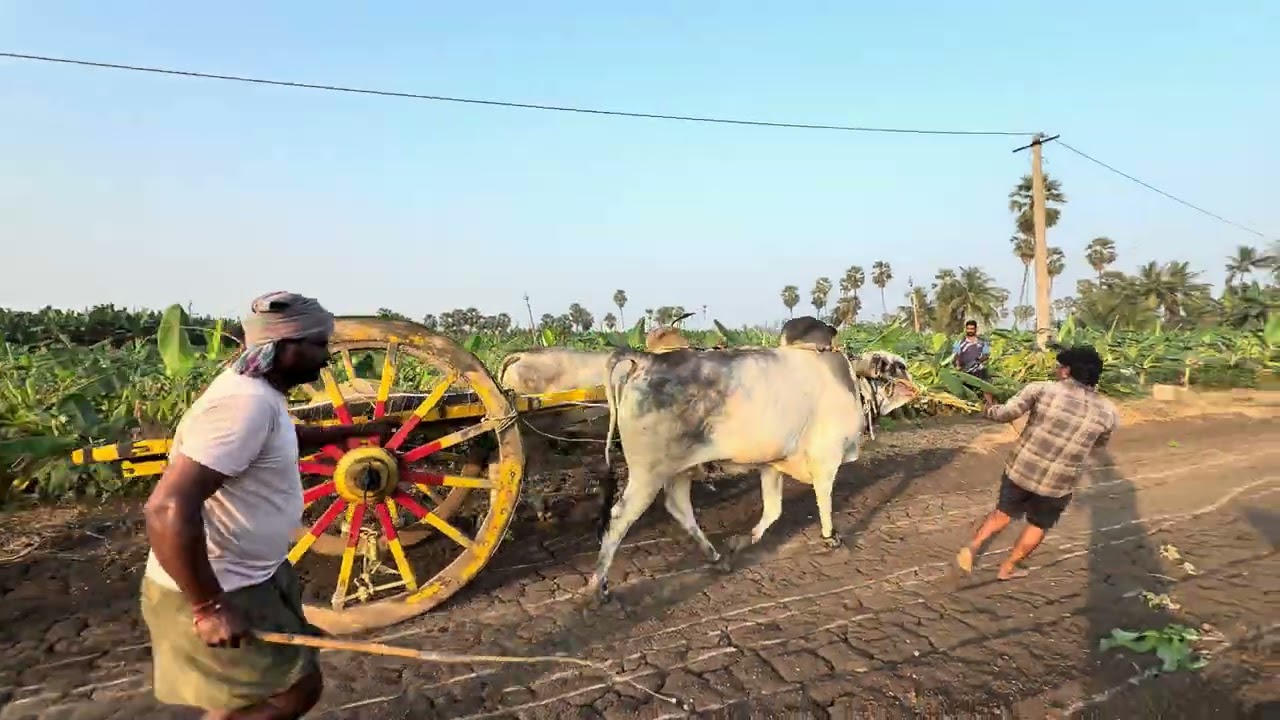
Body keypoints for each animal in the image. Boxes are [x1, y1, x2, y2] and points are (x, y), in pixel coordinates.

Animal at [587, 346, 918, 600]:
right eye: (898, 367)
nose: (913, 381)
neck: (852, 385)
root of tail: (647, 359)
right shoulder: (826, 457)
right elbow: (823, 500)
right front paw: (831, 538)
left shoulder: (772, 464)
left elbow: (773, 510)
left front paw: (742, 540)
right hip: (648, 474)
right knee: (619, 518)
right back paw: (599, 585)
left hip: (678, 470)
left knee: (679, 507)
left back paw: (717, 557)